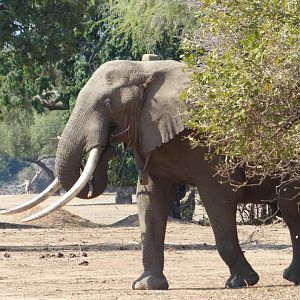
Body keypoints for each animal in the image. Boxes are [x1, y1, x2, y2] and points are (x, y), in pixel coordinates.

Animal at [1, 57, 298, 290]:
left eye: (108, 104)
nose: (104, 145)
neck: (145, 70)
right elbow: (149, 200)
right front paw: (146, 285)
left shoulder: (207, 144)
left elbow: (218, 199)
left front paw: (240, 283)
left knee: (288, 204)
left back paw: (290, 277)